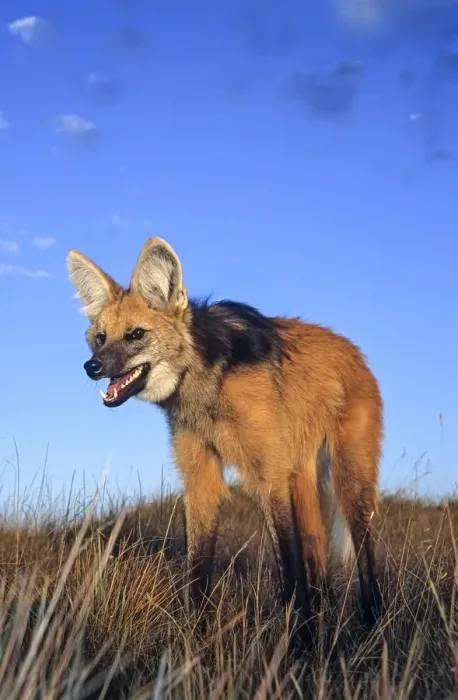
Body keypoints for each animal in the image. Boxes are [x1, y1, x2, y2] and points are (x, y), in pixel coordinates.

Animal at [67, 236, 383, 635]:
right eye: (100, 338)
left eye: (136, 334)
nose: (91, 366)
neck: (209, 387)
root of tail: (354, 350)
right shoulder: (201, 475)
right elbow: (199, 567)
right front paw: (194, 636)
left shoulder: (270, 476)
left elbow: (289, 571)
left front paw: (299, 644)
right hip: (302, 478)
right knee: (318, 555)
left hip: (348, 480)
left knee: (363, 555)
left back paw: (372, 625)